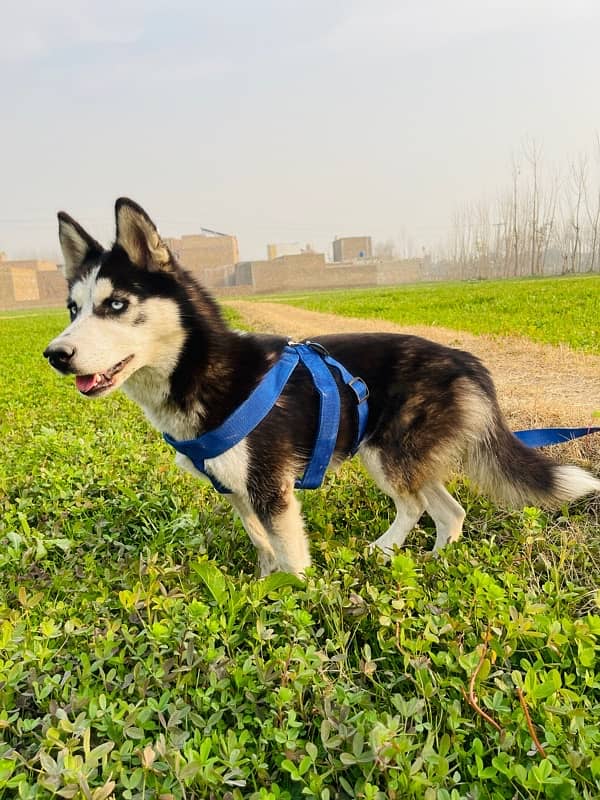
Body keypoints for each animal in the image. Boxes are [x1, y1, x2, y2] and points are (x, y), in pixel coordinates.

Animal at [43, 199, 600, 576]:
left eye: (115, 304)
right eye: (72, 309)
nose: (55, 355)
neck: (203, 370)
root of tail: (469, 362)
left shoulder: (271, 489)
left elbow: (291, 556)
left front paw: (296, 603)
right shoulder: (238, 491)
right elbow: (263, 546)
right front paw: (264, 588)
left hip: (385, 455)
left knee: (416, 506)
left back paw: (386, 549)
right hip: (406, 458)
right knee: (451, 510)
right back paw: (435, 559)